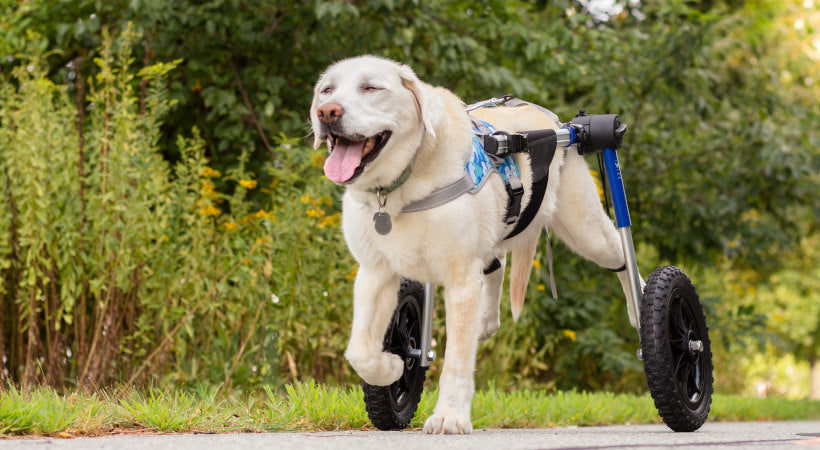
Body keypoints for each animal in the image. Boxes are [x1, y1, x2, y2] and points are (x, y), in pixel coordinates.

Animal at [308, 54, 636, 434]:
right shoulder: (375, 274)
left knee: (623, 258)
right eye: (327, 90)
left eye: (371, 88)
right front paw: (392, 368)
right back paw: (485, 321)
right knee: (497, 264)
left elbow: (457, 359)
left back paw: (640, 310)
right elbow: (360, 350)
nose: (327, 112)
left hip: (586, 229)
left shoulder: (461, 278)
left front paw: (449, 415)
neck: (400, 190)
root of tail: (559, 124)